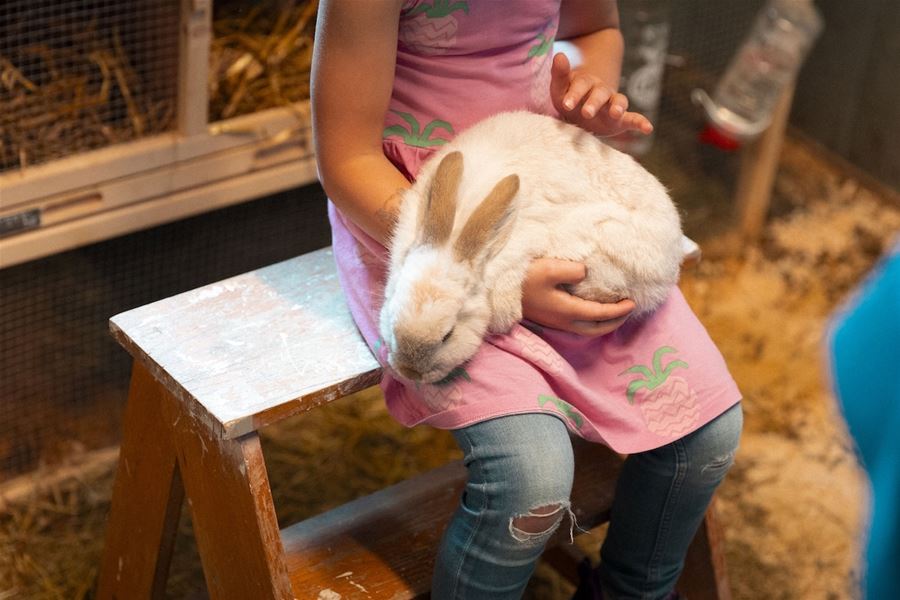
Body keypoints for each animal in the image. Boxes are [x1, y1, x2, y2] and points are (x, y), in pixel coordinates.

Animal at [379, 111, 684, 384]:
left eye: (448, 335)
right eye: (392, 317)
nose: (409, 373)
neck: (458, 236)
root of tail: (671, 261)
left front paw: (506, 314)